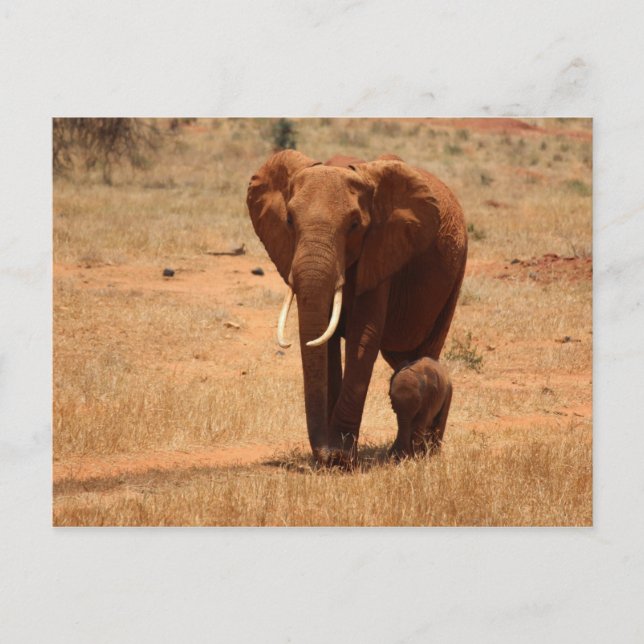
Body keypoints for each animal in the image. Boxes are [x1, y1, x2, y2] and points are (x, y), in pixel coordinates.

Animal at [246, 150, 467, 467]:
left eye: (354, 225)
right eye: (289, 220)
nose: (323, 454)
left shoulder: (382, 248)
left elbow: (363, 335)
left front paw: (339, 457)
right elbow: (324, 341)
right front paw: (332, 456)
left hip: (455, 273)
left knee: (427, 349)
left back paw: (423, 452)